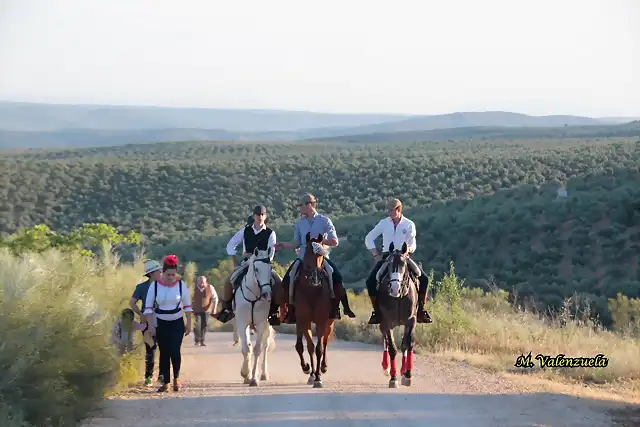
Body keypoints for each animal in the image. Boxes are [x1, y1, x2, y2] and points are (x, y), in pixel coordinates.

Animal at [234, 246, 276, 386]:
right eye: (256, 269)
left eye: (270, 268)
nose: (267, 294)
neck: (254, 296)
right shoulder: (242, 323)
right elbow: (246, 348)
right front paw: (245, 374)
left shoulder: (261, 323)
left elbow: (258, 349)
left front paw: (253, 378)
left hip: (267, 326)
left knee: (265, 345)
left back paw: (263, 374)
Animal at [292, 232, 338, 390]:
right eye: (307, 253)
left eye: (321, 256)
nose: (315, 278)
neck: (312, 290)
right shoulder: (304, 320)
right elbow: (310, 346)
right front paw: (311, 373)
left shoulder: (321, 321)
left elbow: (319, 348)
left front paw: (318, 378)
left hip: (330, 323)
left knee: (325, 342)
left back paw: (323, 367)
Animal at [376, 242, 420, 390]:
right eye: (388, 264)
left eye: (404, 264)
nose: (395, 288)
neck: (399, 297)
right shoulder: (386, 322)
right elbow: (392, 348)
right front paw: (393, 378)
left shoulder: (411, 321)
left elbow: (407, 344)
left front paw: (407, 375)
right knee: (385, 340)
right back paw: (386, 368)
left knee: (404, 344)